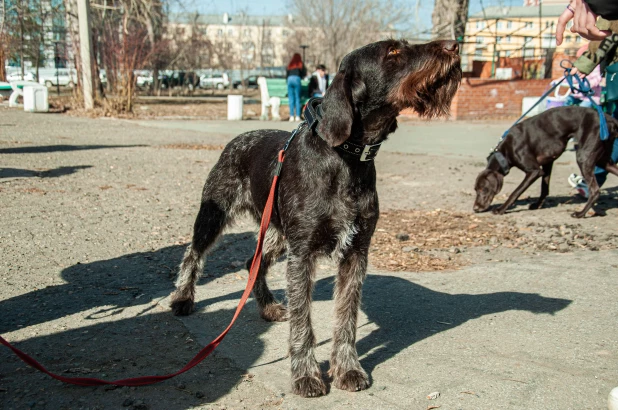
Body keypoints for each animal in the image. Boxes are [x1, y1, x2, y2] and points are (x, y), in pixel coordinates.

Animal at [171, 39, 460, 398]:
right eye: (393, 52)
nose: (454, 45)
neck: (347, 158)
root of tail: (239, 138)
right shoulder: (303, 255)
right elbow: (303, 323)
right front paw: (306, 375)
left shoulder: (356, 253)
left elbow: (346, 317)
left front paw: (347, 368)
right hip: (215, 214)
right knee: (193, 254)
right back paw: (183, 298)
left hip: (278, 233)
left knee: (254, 263)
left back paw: (267, 306)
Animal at [474, 107, 612, 219]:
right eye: (476, 189)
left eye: (483, 189)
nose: (475, 208)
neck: (505, 151)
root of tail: (609, 119)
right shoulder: (547, 163)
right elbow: (544, 188)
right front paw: (538, 205)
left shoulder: (534, 171)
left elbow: (516, 192)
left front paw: (501, 209)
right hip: (604, 161)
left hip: (584, 158)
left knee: (595, 190)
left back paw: (581, 213)